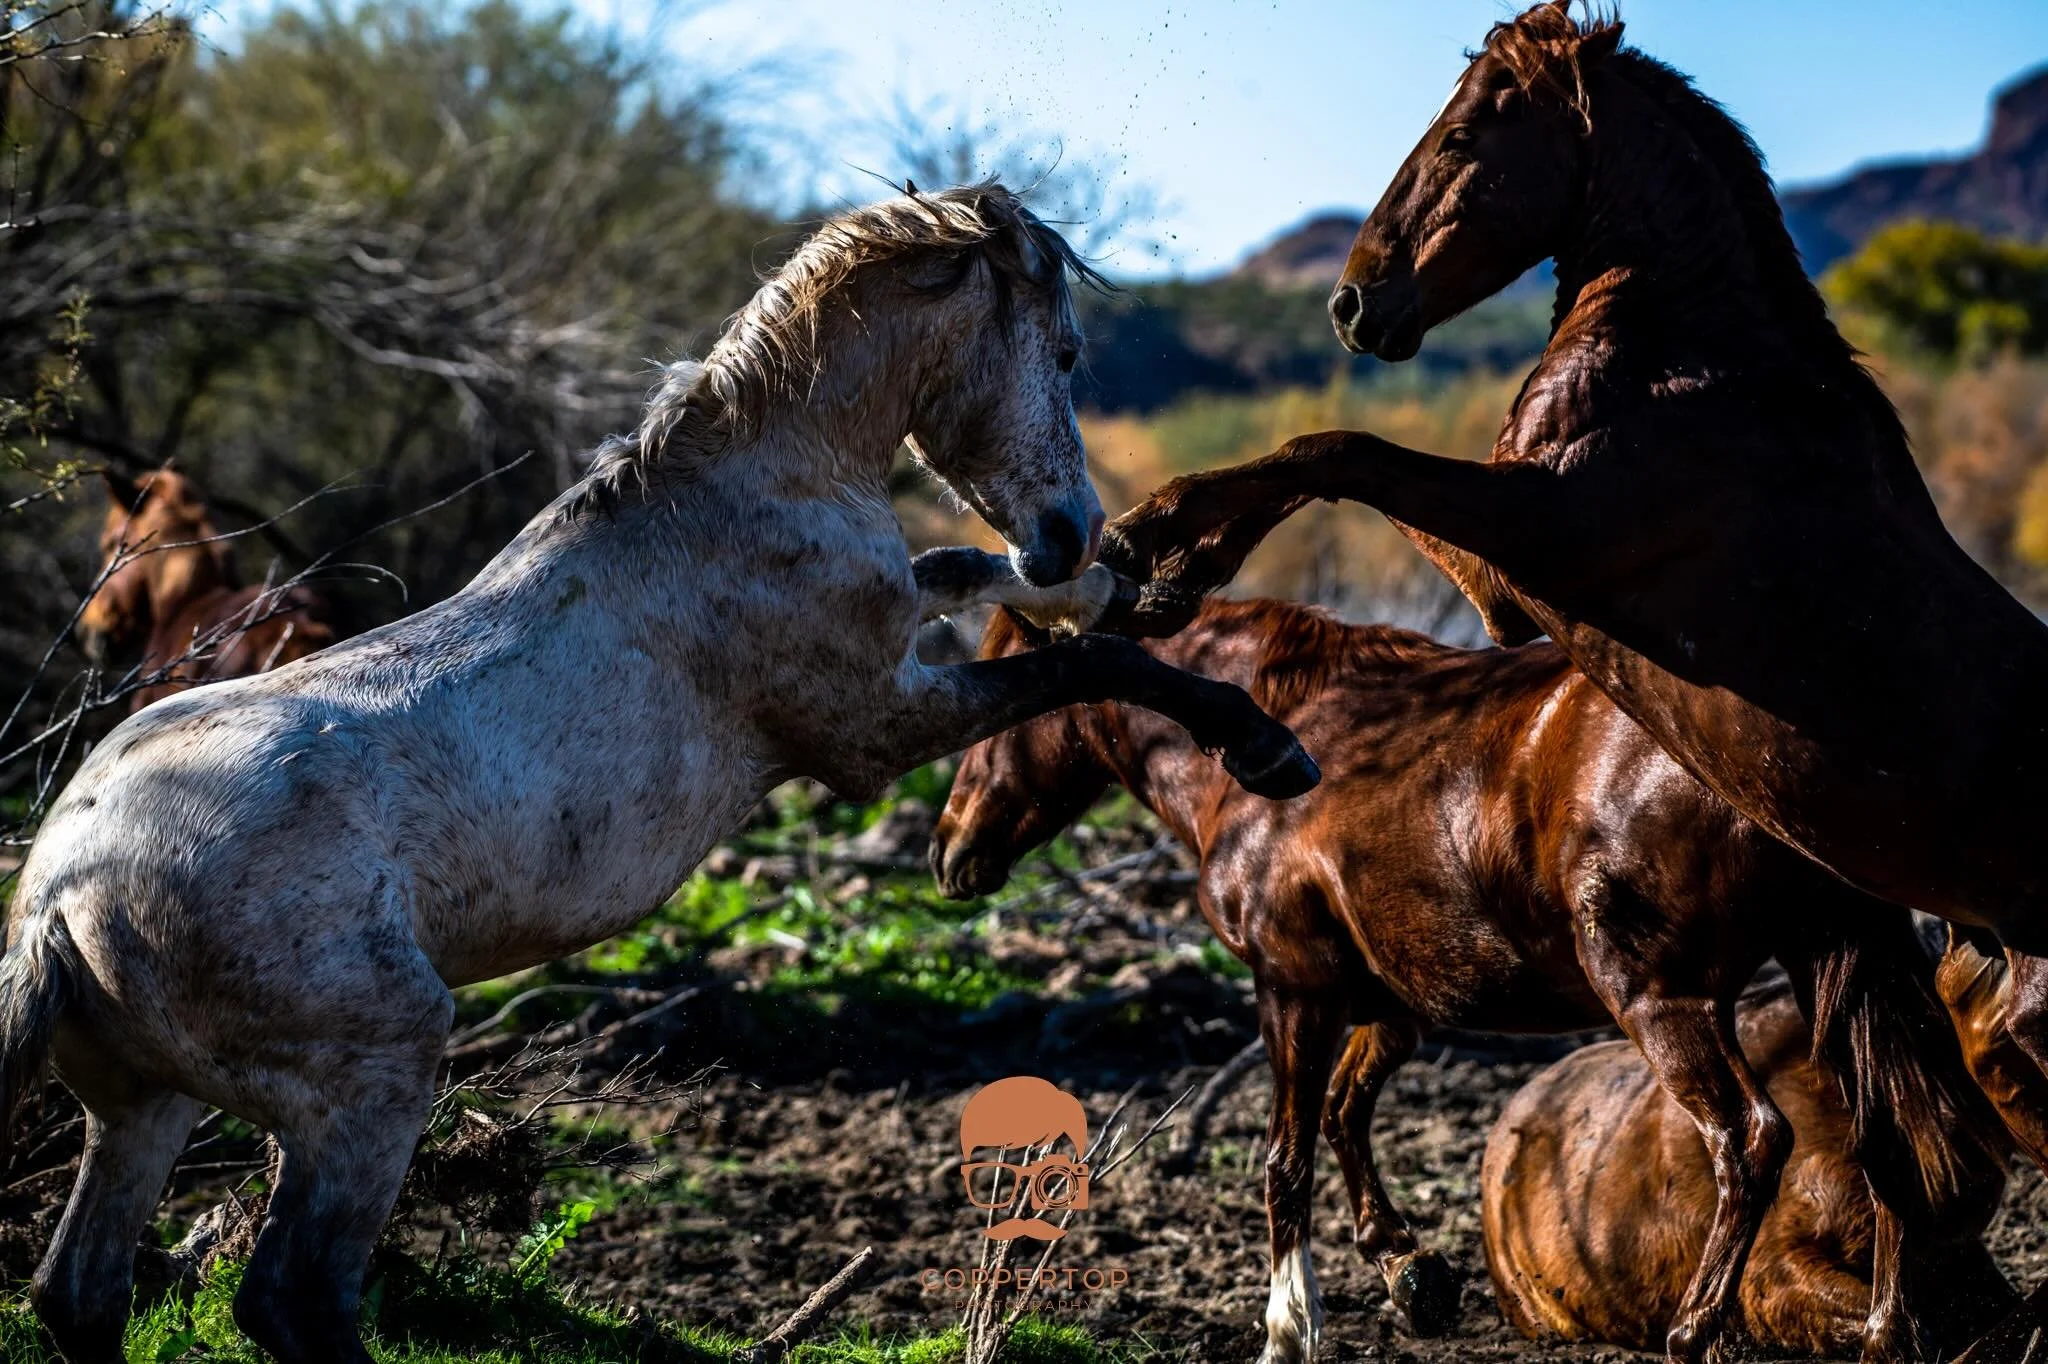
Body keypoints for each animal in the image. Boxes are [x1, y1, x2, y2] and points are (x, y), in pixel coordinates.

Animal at [1093, 0, 2048, 1221]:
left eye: (1460, 137)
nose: (1352, 305)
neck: (1689, 367)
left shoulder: (1534, 533)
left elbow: (1338, 449)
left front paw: (1156, 538)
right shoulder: (1506, 578)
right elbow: (1337, 459)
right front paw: (1167, 565)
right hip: (1987, 1008)